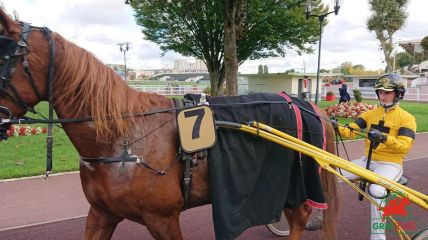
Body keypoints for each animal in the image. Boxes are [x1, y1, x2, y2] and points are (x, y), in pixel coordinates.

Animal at [0, 10, 338, 240]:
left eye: (3, 58)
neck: (124, 141)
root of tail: (303, 103)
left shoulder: (162, 219)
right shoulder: (101, 213)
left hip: (296, 181)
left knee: (299, 215)